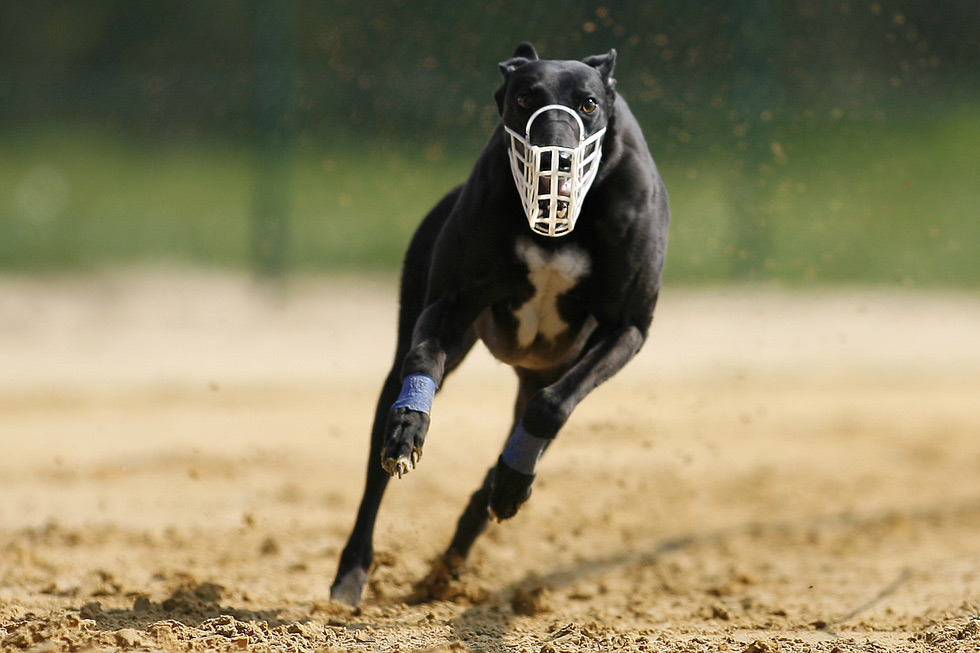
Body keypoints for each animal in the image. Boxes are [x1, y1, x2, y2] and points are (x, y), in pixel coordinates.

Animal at [330, 42, 668, 608]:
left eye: (589, 103)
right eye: (525, 97)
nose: (555, 159)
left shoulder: (627, 330)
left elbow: (551, 407)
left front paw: (511, 480)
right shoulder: (448, 305)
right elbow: (423, 360)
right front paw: (409, 428)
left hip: (550, 370)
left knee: (534, 416)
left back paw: (492, 502)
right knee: (377, 469)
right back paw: (352, 575)